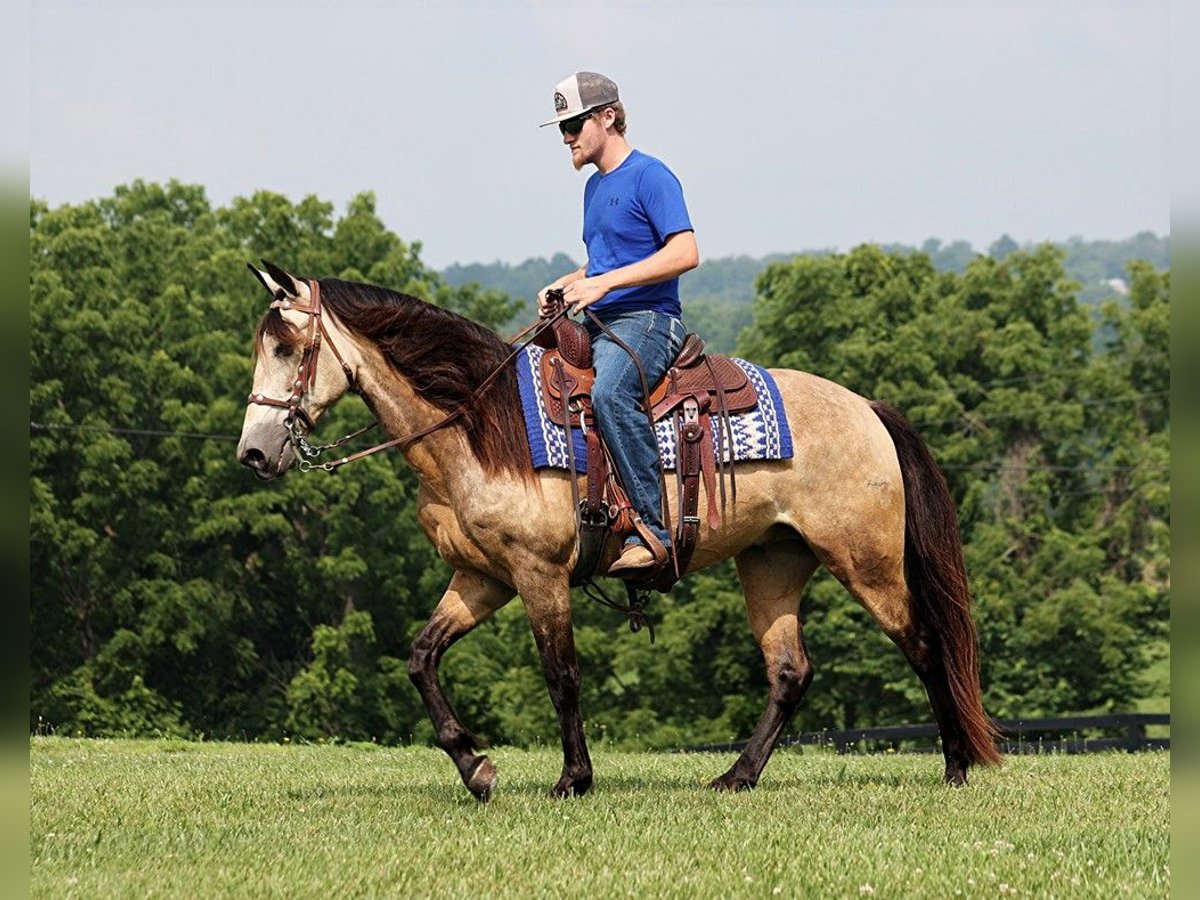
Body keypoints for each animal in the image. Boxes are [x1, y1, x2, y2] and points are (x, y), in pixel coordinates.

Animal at [236, 262, 1003, 801]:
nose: (253, 453)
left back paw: (956, 768)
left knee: (925, 644)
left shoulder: (539, 573)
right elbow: (421, 658)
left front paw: (572, 779)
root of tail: (869, 408)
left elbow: (562, 674)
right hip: (772, 562)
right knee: (790, 673)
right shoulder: (482, 576)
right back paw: (737, 777)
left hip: (865, 561)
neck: (479, 427)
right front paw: (475, 768)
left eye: (287, 346)